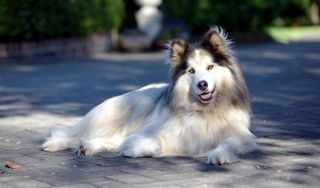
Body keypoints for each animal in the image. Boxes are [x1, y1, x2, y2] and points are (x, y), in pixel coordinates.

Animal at [42, 26, 258, 164]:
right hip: (111, 119)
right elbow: (150, 142)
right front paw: (134, 148)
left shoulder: (244, 138)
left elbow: (228, 143)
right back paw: (57, 144)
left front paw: (218, 156)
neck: (205, 110)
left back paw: (87, 146)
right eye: (191, 71)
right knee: (78, 134)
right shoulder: (160, 131)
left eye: (210, 67)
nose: (202, 85)